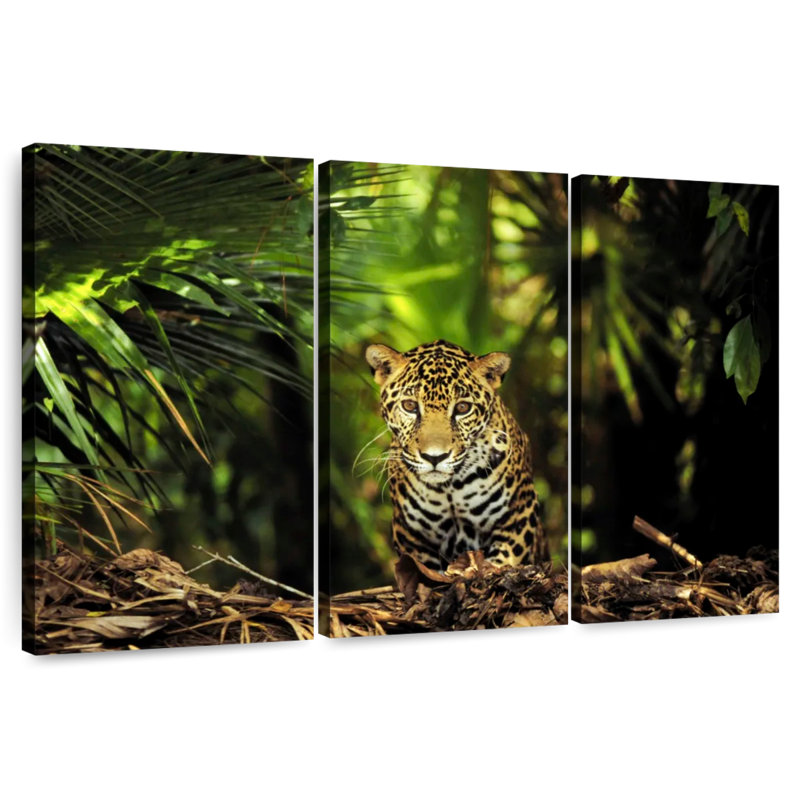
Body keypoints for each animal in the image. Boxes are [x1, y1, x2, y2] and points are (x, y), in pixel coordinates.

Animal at [365, 339, 548, 573]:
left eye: (462, 408)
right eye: (410, 406)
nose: (435, 457)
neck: (450, 489)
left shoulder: (519, 514)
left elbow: (504, 560)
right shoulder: (411, 535)